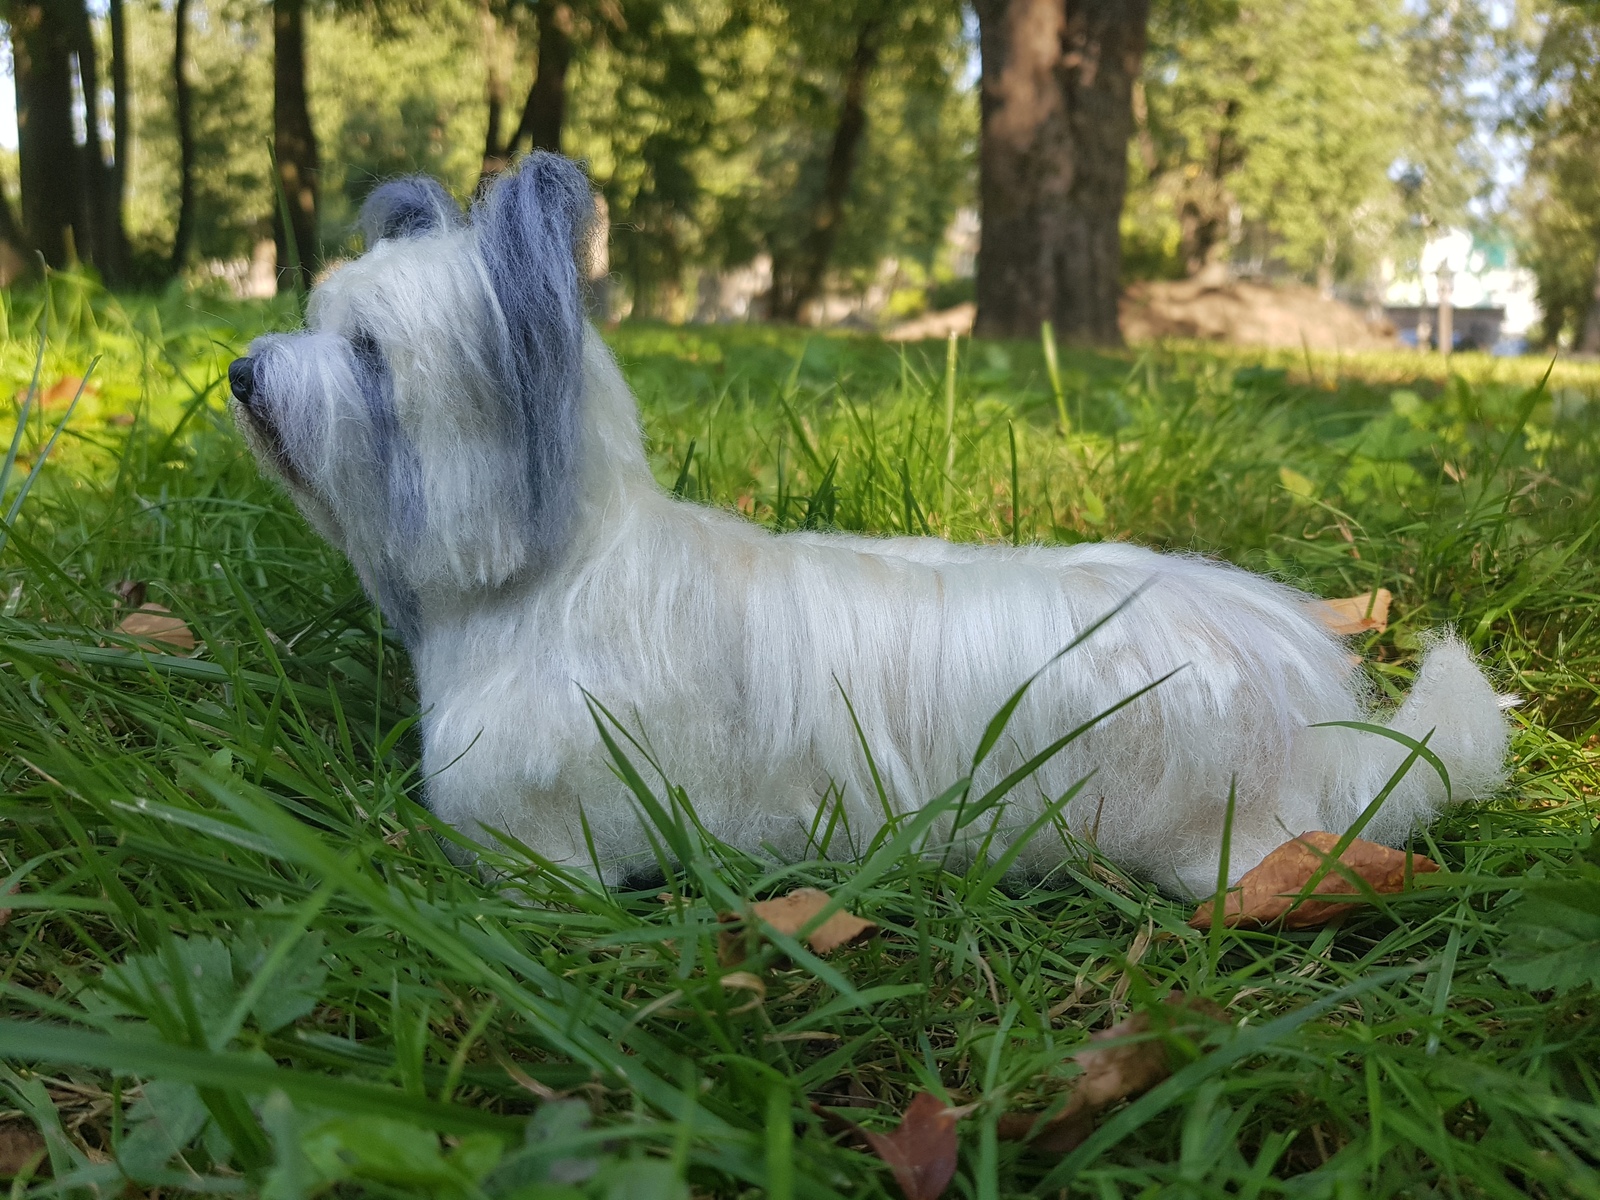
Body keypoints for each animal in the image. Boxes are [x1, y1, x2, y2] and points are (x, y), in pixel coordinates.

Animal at [228, 155, 1510, 896]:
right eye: (317, 318)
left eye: (366, 354)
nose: (240, 373)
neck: (550, 577)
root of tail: (1326, 711)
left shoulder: (551, 825)